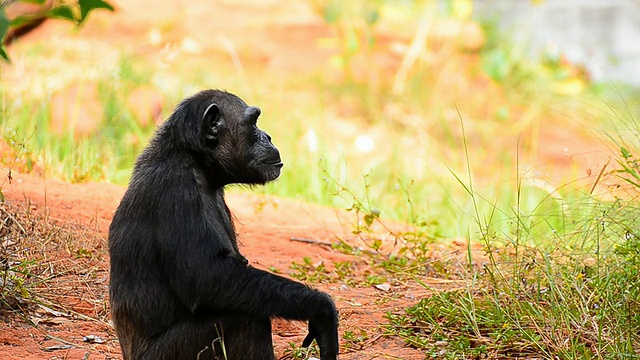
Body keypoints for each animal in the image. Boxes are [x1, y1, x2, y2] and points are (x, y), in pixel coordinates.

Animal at [110, 90, 340, 360]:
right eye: (254, 123)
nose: (268, 136)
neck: (198, 164)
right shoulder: (176, 190)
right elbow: (205, 276)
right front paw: (321, 309)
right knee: (245, 318)